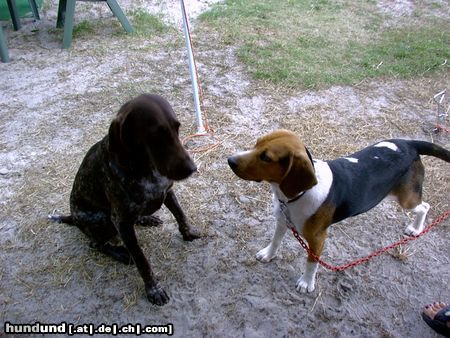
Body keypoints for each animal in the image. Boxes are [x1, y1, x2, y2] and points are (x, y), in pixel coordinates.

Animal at [50, 93, 200, 304]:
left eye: (177, 127)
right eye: (156, 134)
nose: (192, 168)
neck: (144, 168)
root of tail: (72, 217)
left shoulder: (167, 191)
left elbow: (180, 214)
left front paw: (188, 232)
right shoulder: (120, 221)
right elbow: (141, 260)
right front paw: (153, 289)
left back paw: (146, 218)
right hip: (102, 219)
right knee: (95, 244)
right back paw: (120, 253)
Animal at [229, 129, 450, 294]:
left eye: (266, 157)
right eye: (256, 143)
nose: (230, 160)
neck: (296, 195)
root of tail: (409, 144)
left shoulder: (317, 239)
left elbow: (312, 262)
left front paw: (306, 283)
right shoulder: (283, 220)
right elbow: (275, 241)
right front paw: (268, 254)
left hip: (406, 199)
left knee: (424, 207)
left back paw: (416, 228)